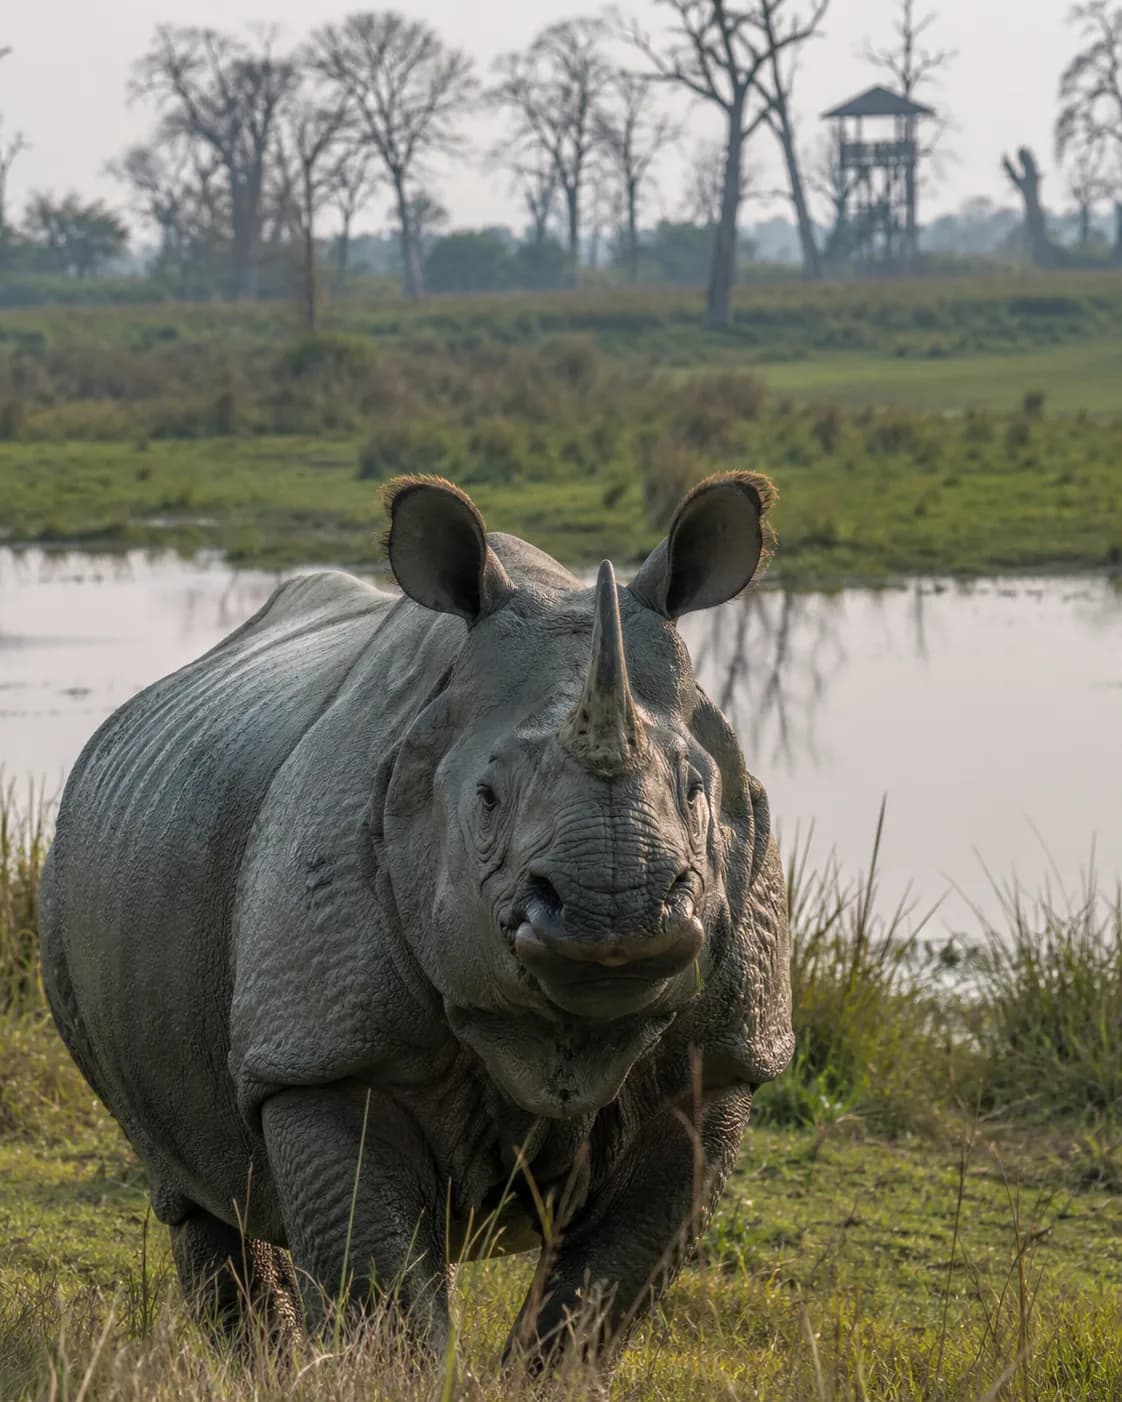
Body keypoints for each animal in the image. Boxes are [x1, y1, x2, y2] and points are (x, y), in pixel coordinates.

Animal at [38, 472, 793, 1371]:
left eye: (696, 790)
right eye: (487, 799)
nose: (614, 915)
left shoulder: (719, 1056)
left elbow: (602, 1292)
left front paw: (542, 1377)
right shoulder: (326, 1047)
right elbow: (381, 1293)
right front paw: (365, 1374)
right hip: (75, 888)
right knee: (194, 1188)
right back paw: (265, 1366)